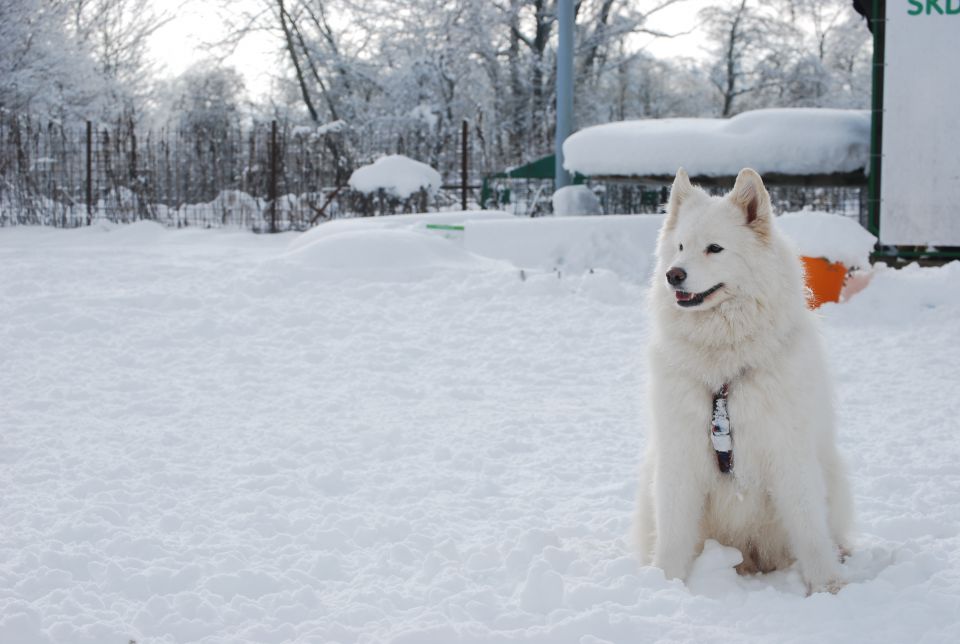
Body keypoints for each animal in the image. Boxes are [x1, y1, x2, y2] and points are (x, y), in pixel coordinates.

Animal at [632, 167, 852, 592]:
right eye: (680, 246)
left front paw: (826, 585)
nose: (673, 275)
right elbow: (673, 530)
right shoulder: (680, 453)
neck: (724, 369)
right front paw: (664, 582)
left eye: (714, 249)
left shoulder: (788, 450)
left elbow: (809, 527)